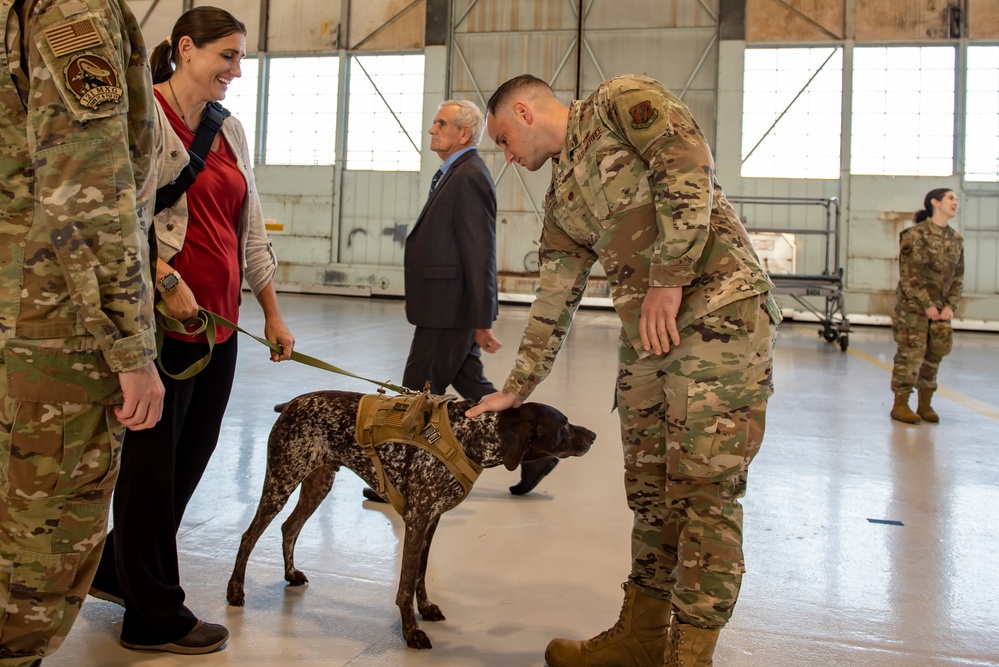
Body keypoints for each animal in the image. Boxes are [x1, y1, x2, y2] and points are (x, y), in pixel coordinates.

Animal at [227, 388, 592, 648]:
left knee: (289, 527)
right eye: (563, 425)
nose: (593, 435)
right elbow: (404, 585)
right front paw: (410, 632)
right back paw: (235, 591)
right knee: (248, 536)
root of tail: (290, 404)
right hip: (281, 480)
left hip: (318, 483)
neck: (471, 435)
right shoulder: (417, 520)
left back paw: (290, 573)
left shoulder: (431, 520)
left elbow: (420, 574)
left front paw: (425, 609)